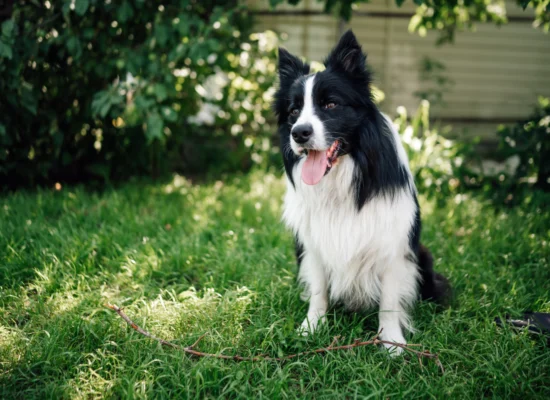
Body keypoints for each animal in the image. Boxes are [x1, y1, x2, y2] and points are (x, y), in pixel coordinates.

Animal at [274, 29, 450, 354]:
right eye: (293, 111)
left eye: (330, 105)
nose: (299, 133)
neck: (341, 177)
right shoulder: (313, 246)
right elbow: (318, 291)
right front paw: (311, 327)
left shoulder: (393, 247)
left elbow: (390, 301)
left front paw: (391, 341)